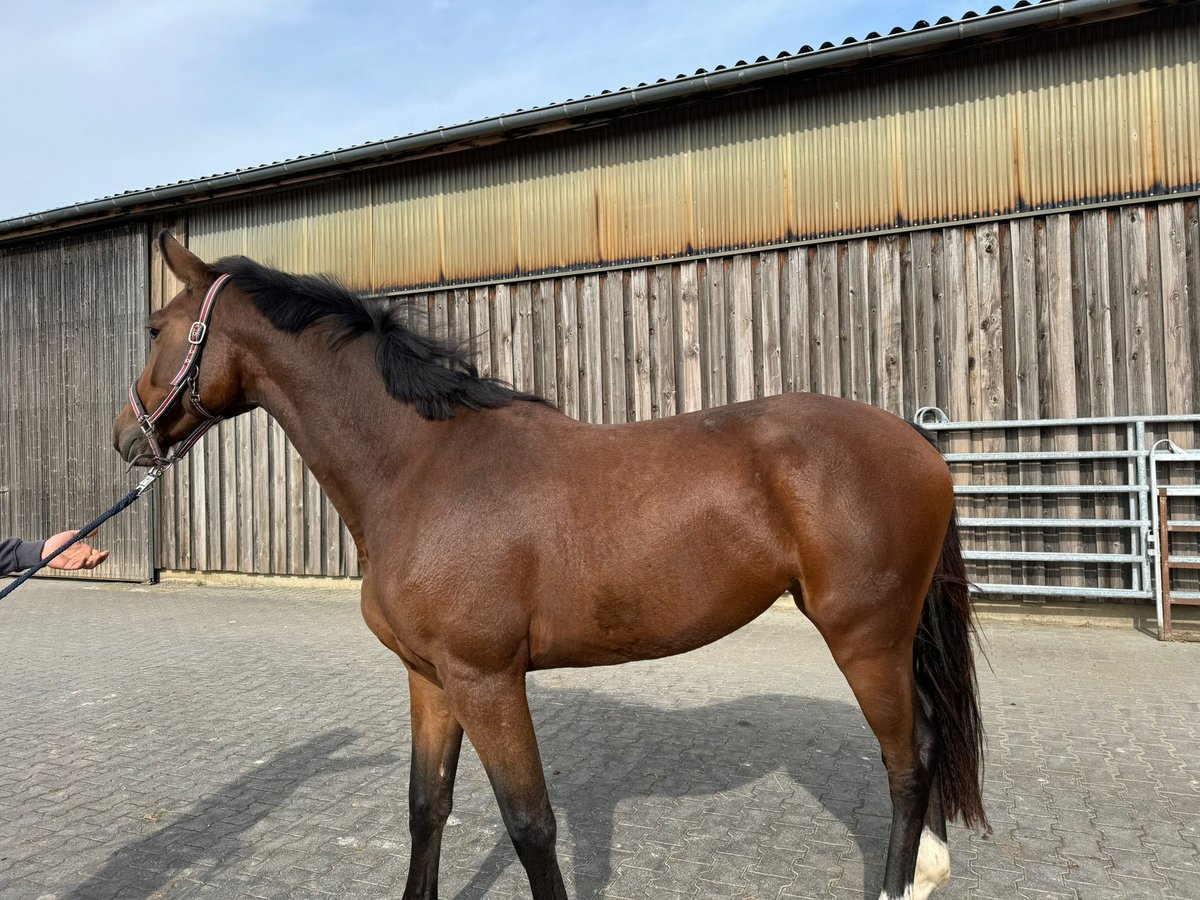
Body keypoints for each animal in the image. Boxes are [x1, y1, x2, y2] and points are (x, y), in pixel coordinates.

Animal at [112, 234, 984, 900]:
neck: (422, 466)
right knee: (928, 739)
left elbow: (530, 823)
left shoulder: (488, 679)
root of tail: (915, 444)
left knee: (907, 758)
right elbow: (427, 806)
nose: (126, 437)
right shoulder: (432, 678)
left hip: (863, 637)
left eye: (156, 328)